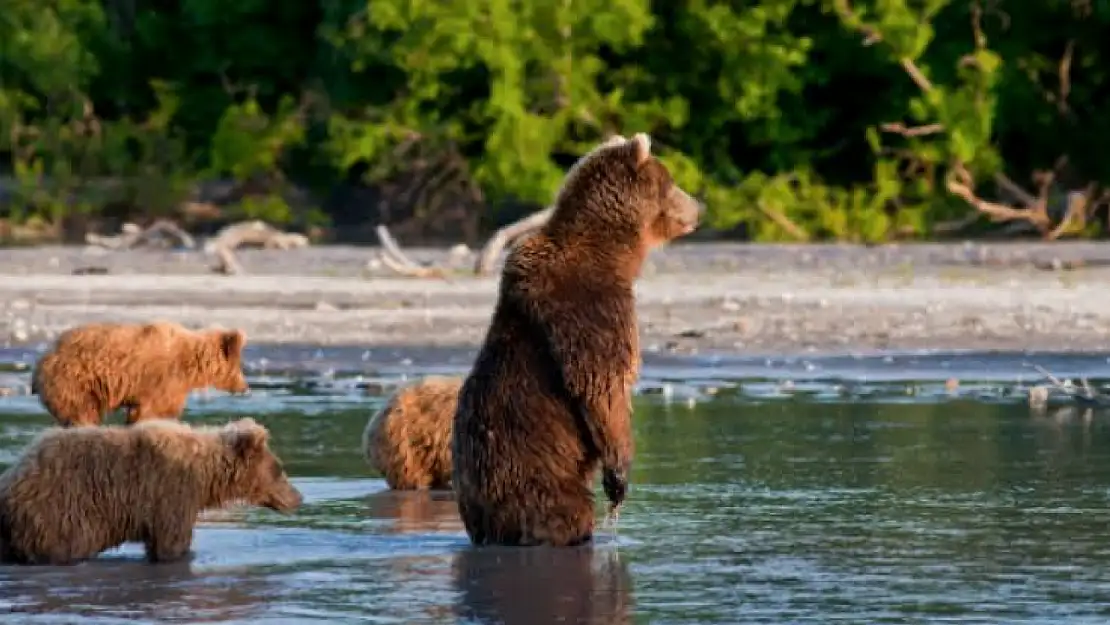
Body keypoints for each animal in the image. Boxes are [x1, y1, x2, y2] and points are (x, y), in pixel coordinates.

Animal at [0, 415, 304, 568]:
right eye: (279, 469)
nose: (298, 497)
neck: (205, 477)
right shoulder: (170, 492)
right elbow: (171, 543)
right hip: (57, 514)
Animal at [31, 319, 253, 428]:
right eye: (240, 365)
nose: (245, 387)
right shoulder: (162, 379)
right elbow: (154, 410)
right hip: (75, 381)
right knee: (82, 411)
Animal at [452, 133, 701, 548]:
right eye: (670, 181)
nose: (700, 207)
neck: (613, 253)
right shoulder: (592, 306)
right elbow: (601, 383)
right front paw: (618, 477)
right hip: (535, 475)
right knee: (566, 513)